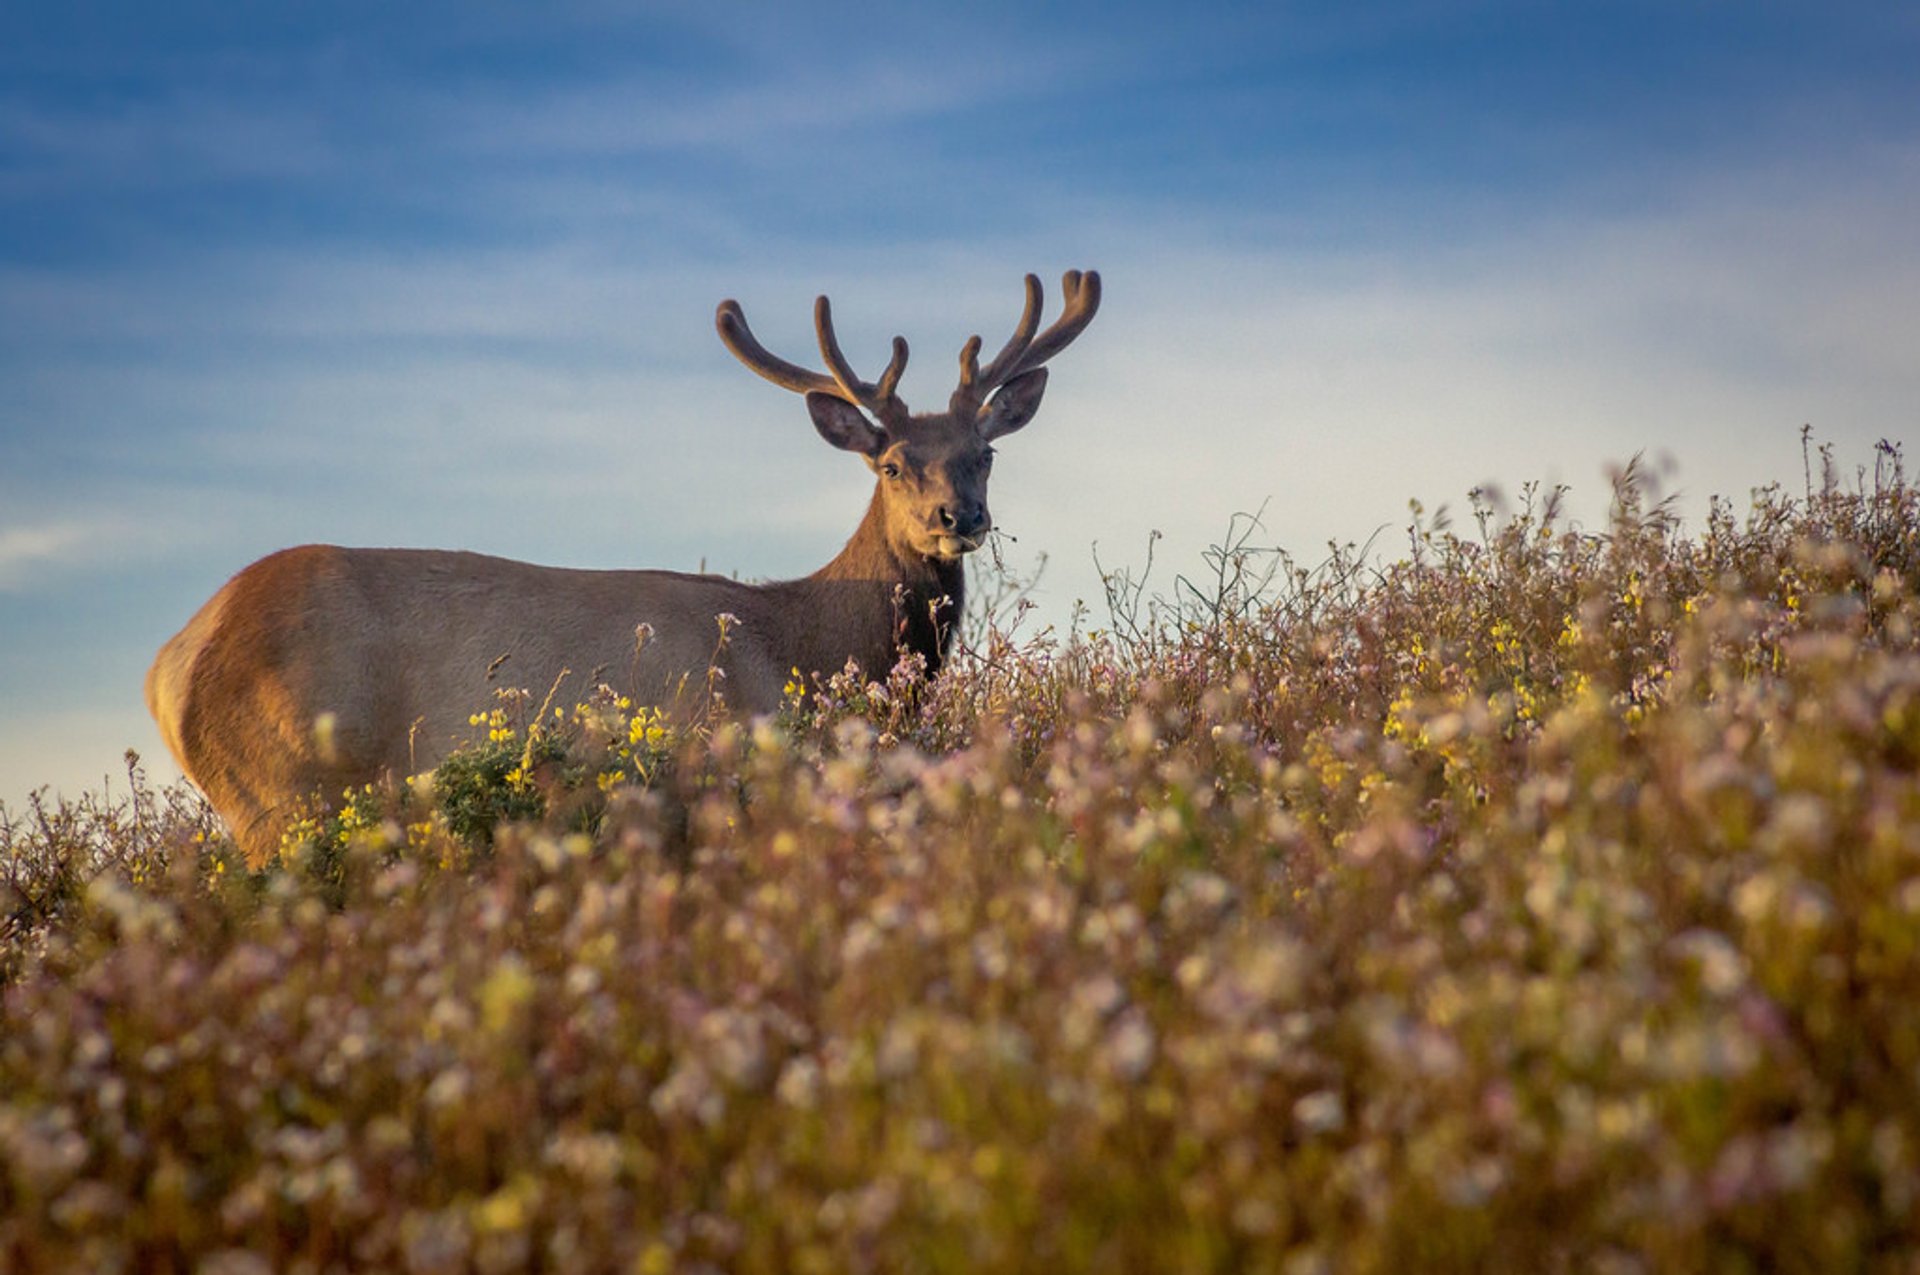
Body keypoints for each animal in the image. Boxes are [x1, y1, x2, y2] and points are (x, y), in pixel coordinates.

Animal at [142, 272, 1105, 860]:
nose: (960, 518)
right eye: (894, 465)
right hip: (284, 793)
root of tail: (171, 662)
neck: (793, 645)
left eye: (985, 453)